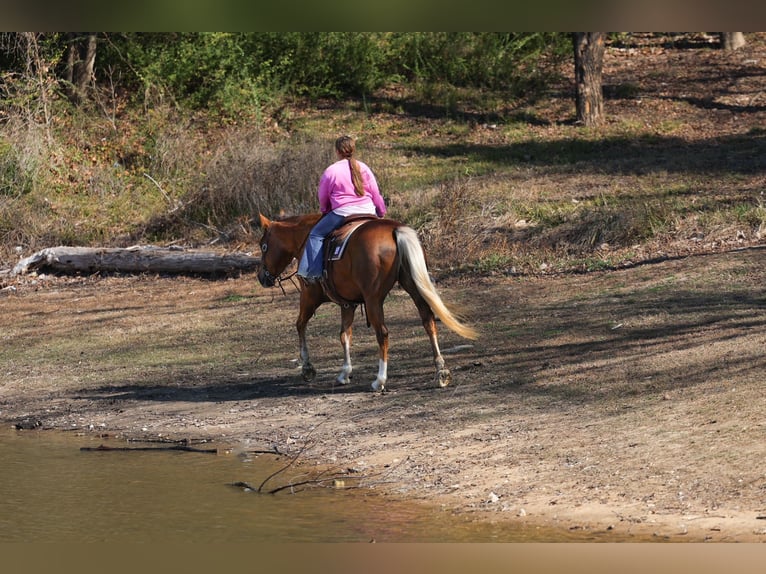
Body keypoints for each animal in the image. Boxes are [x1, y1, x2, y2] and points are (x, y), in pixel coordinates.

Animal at [256, 212, 478, 392]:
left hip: (373, 300)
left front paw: (308, 368)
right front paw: (345, 372)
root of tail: (394, 230)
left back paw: (380, 380)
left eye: (263, 246)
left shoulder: (309, 297)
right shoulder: (348, 304)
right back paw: (441, 371)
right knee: (428, 321)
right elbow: (345, 335)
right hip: (413, 287)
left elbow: (300, 325)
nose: (261, 276)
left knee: (383, 333)